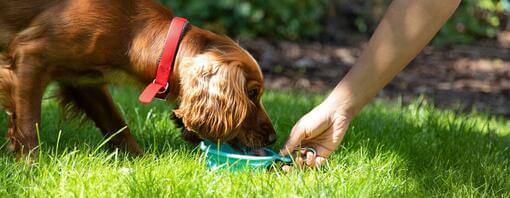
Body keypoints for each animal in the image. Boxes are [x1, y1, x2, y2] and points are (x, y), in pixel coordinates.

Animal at [0, 0, 276, 158]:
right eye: (252, 93)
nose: (273, 138)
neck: (132, 32)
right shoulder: (30, 57)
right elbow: (28, 127)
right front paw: (30, 167)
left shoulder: (83, 81)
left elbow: (116, 124)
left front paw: (139, 161)